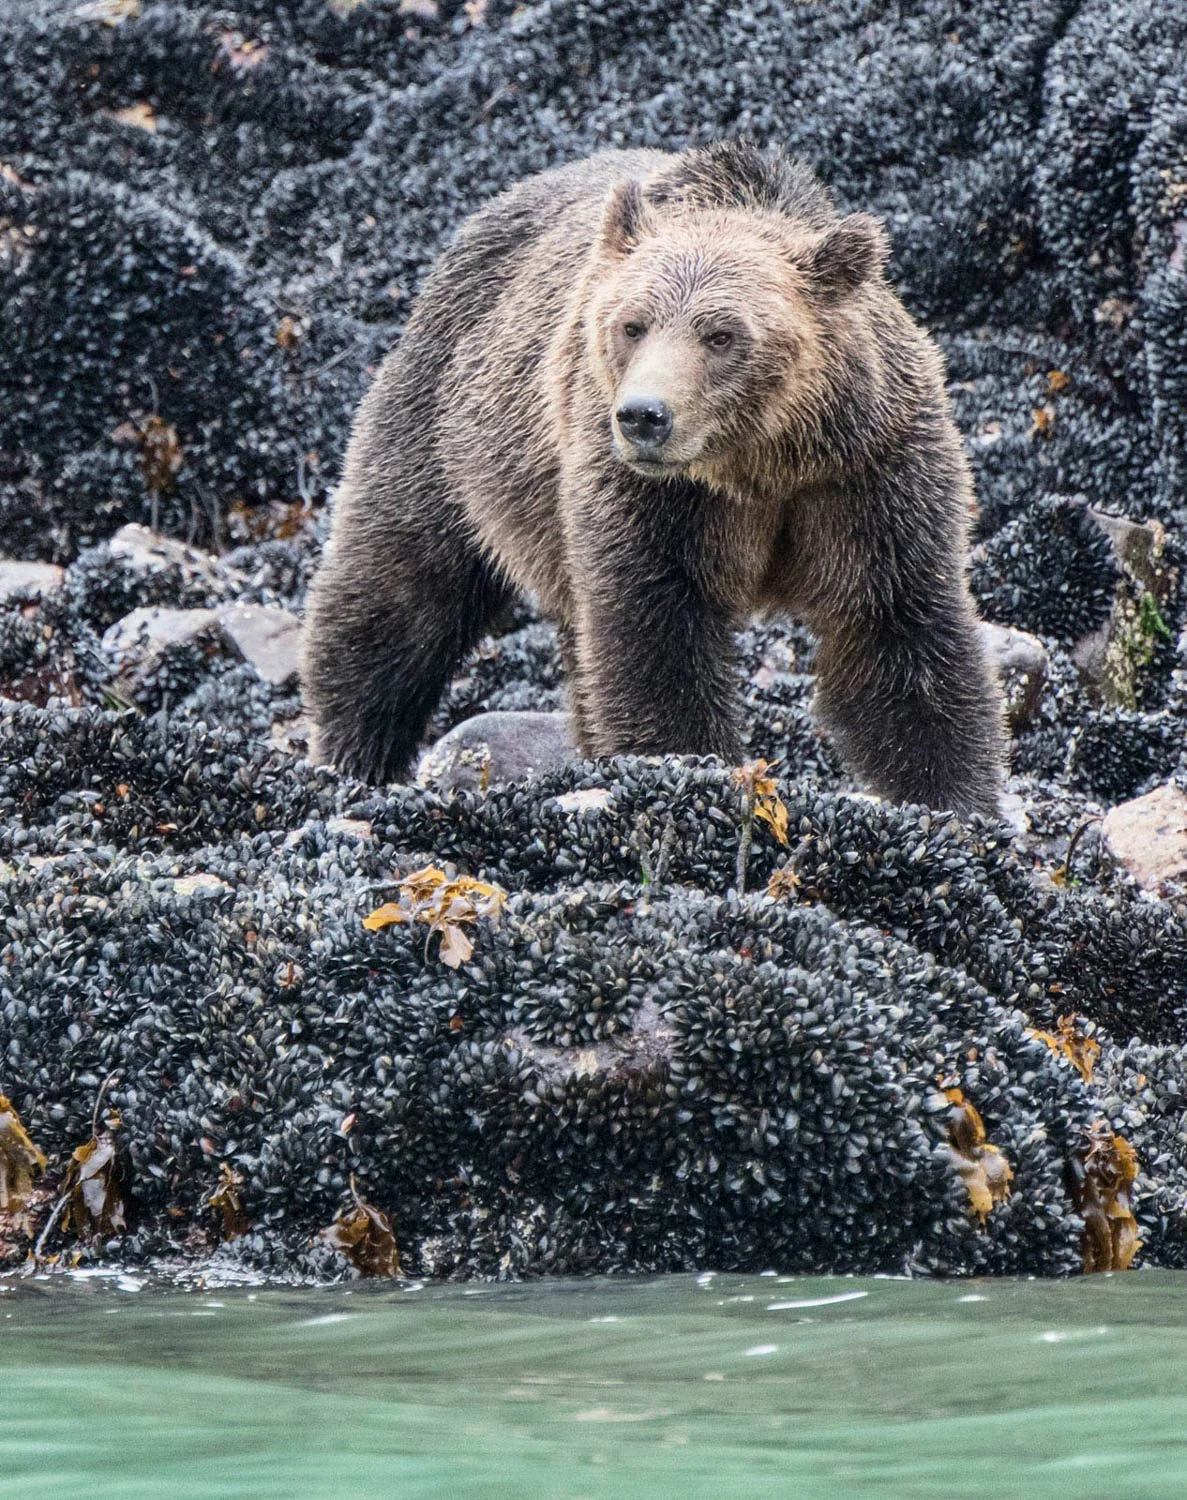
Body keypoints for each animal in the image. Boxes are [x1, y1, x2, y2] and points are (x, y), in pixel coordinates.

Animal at [301, 141, 1005, 816]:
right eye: (632, 324)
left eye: (723, 334)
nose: (644, 415)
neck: (757, 466)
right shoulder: (649, 495)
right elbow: (653, 634)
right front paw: (689, 768)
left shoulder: (865, 474)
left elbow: (894, 628)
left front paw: (956, 801)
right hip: (450, 429)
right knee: (401, 587)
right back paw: (354, 753)